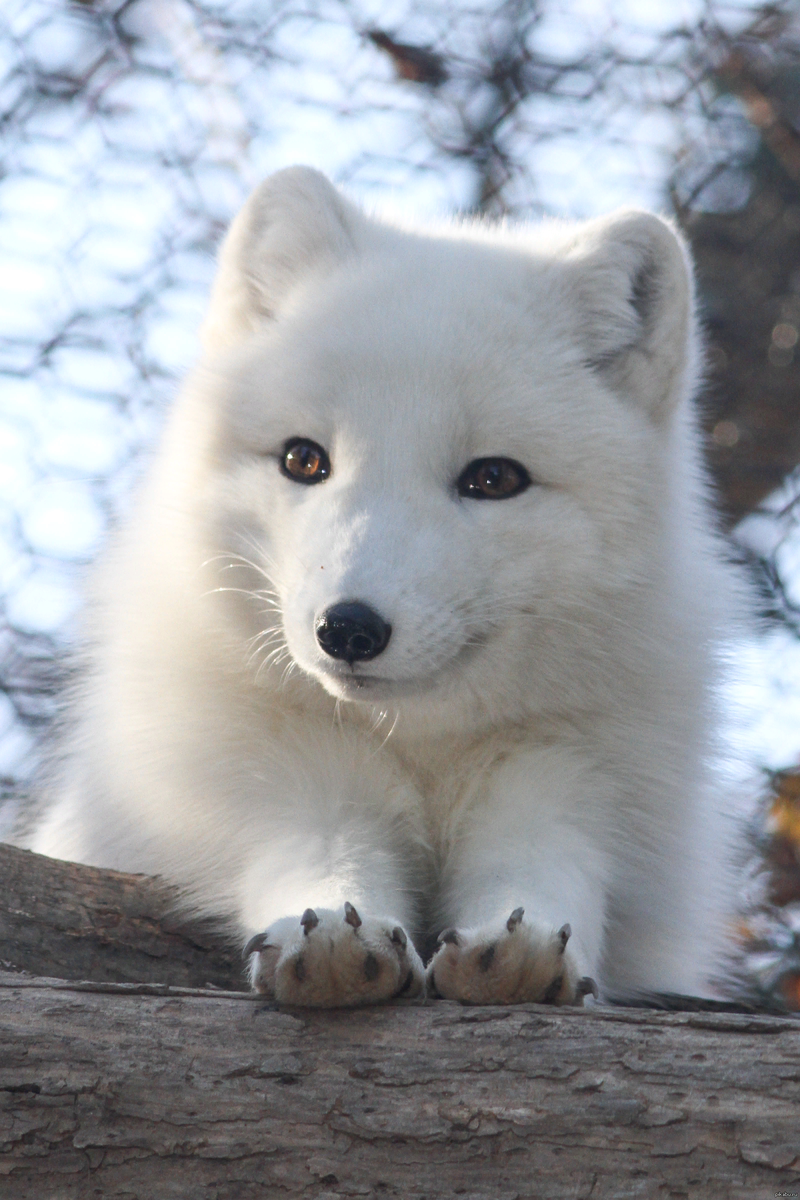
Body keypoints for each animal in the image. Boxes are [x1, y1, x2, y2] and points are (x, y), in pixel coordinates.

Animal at [31, 166, 743, 1003]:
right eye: (303, 459)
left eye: (494, 479)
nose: (348, 628)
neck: (420, 747)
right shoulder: (277, 778)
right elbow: (323, 852)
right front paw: (332, 937)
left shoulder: (574, 781)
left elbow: (546, 867)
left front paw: (525, 951)